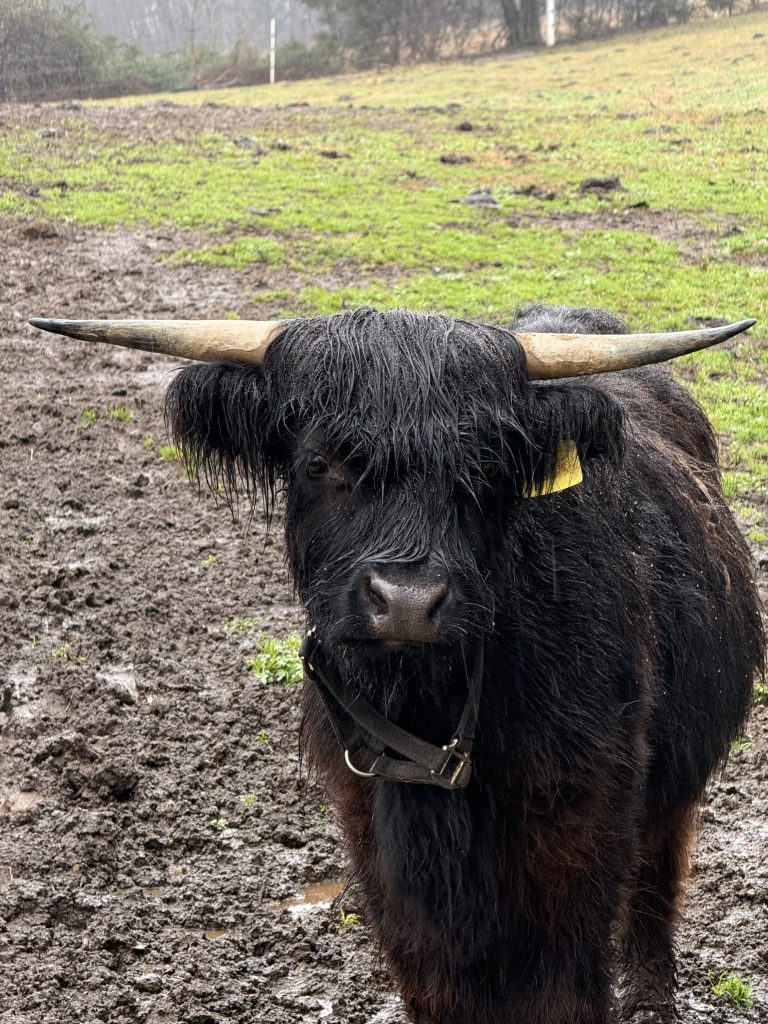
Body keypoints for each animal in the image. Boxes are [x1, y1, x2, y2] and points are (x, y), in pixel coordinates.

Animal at [32, 306, 764, 1024]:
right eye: (320, 460)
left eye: (485, 463)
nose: (407, 603)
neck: (434, 707)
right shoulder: (374, 832)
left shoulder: (581, 821)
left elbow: (562, 987)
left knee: (659, 869)